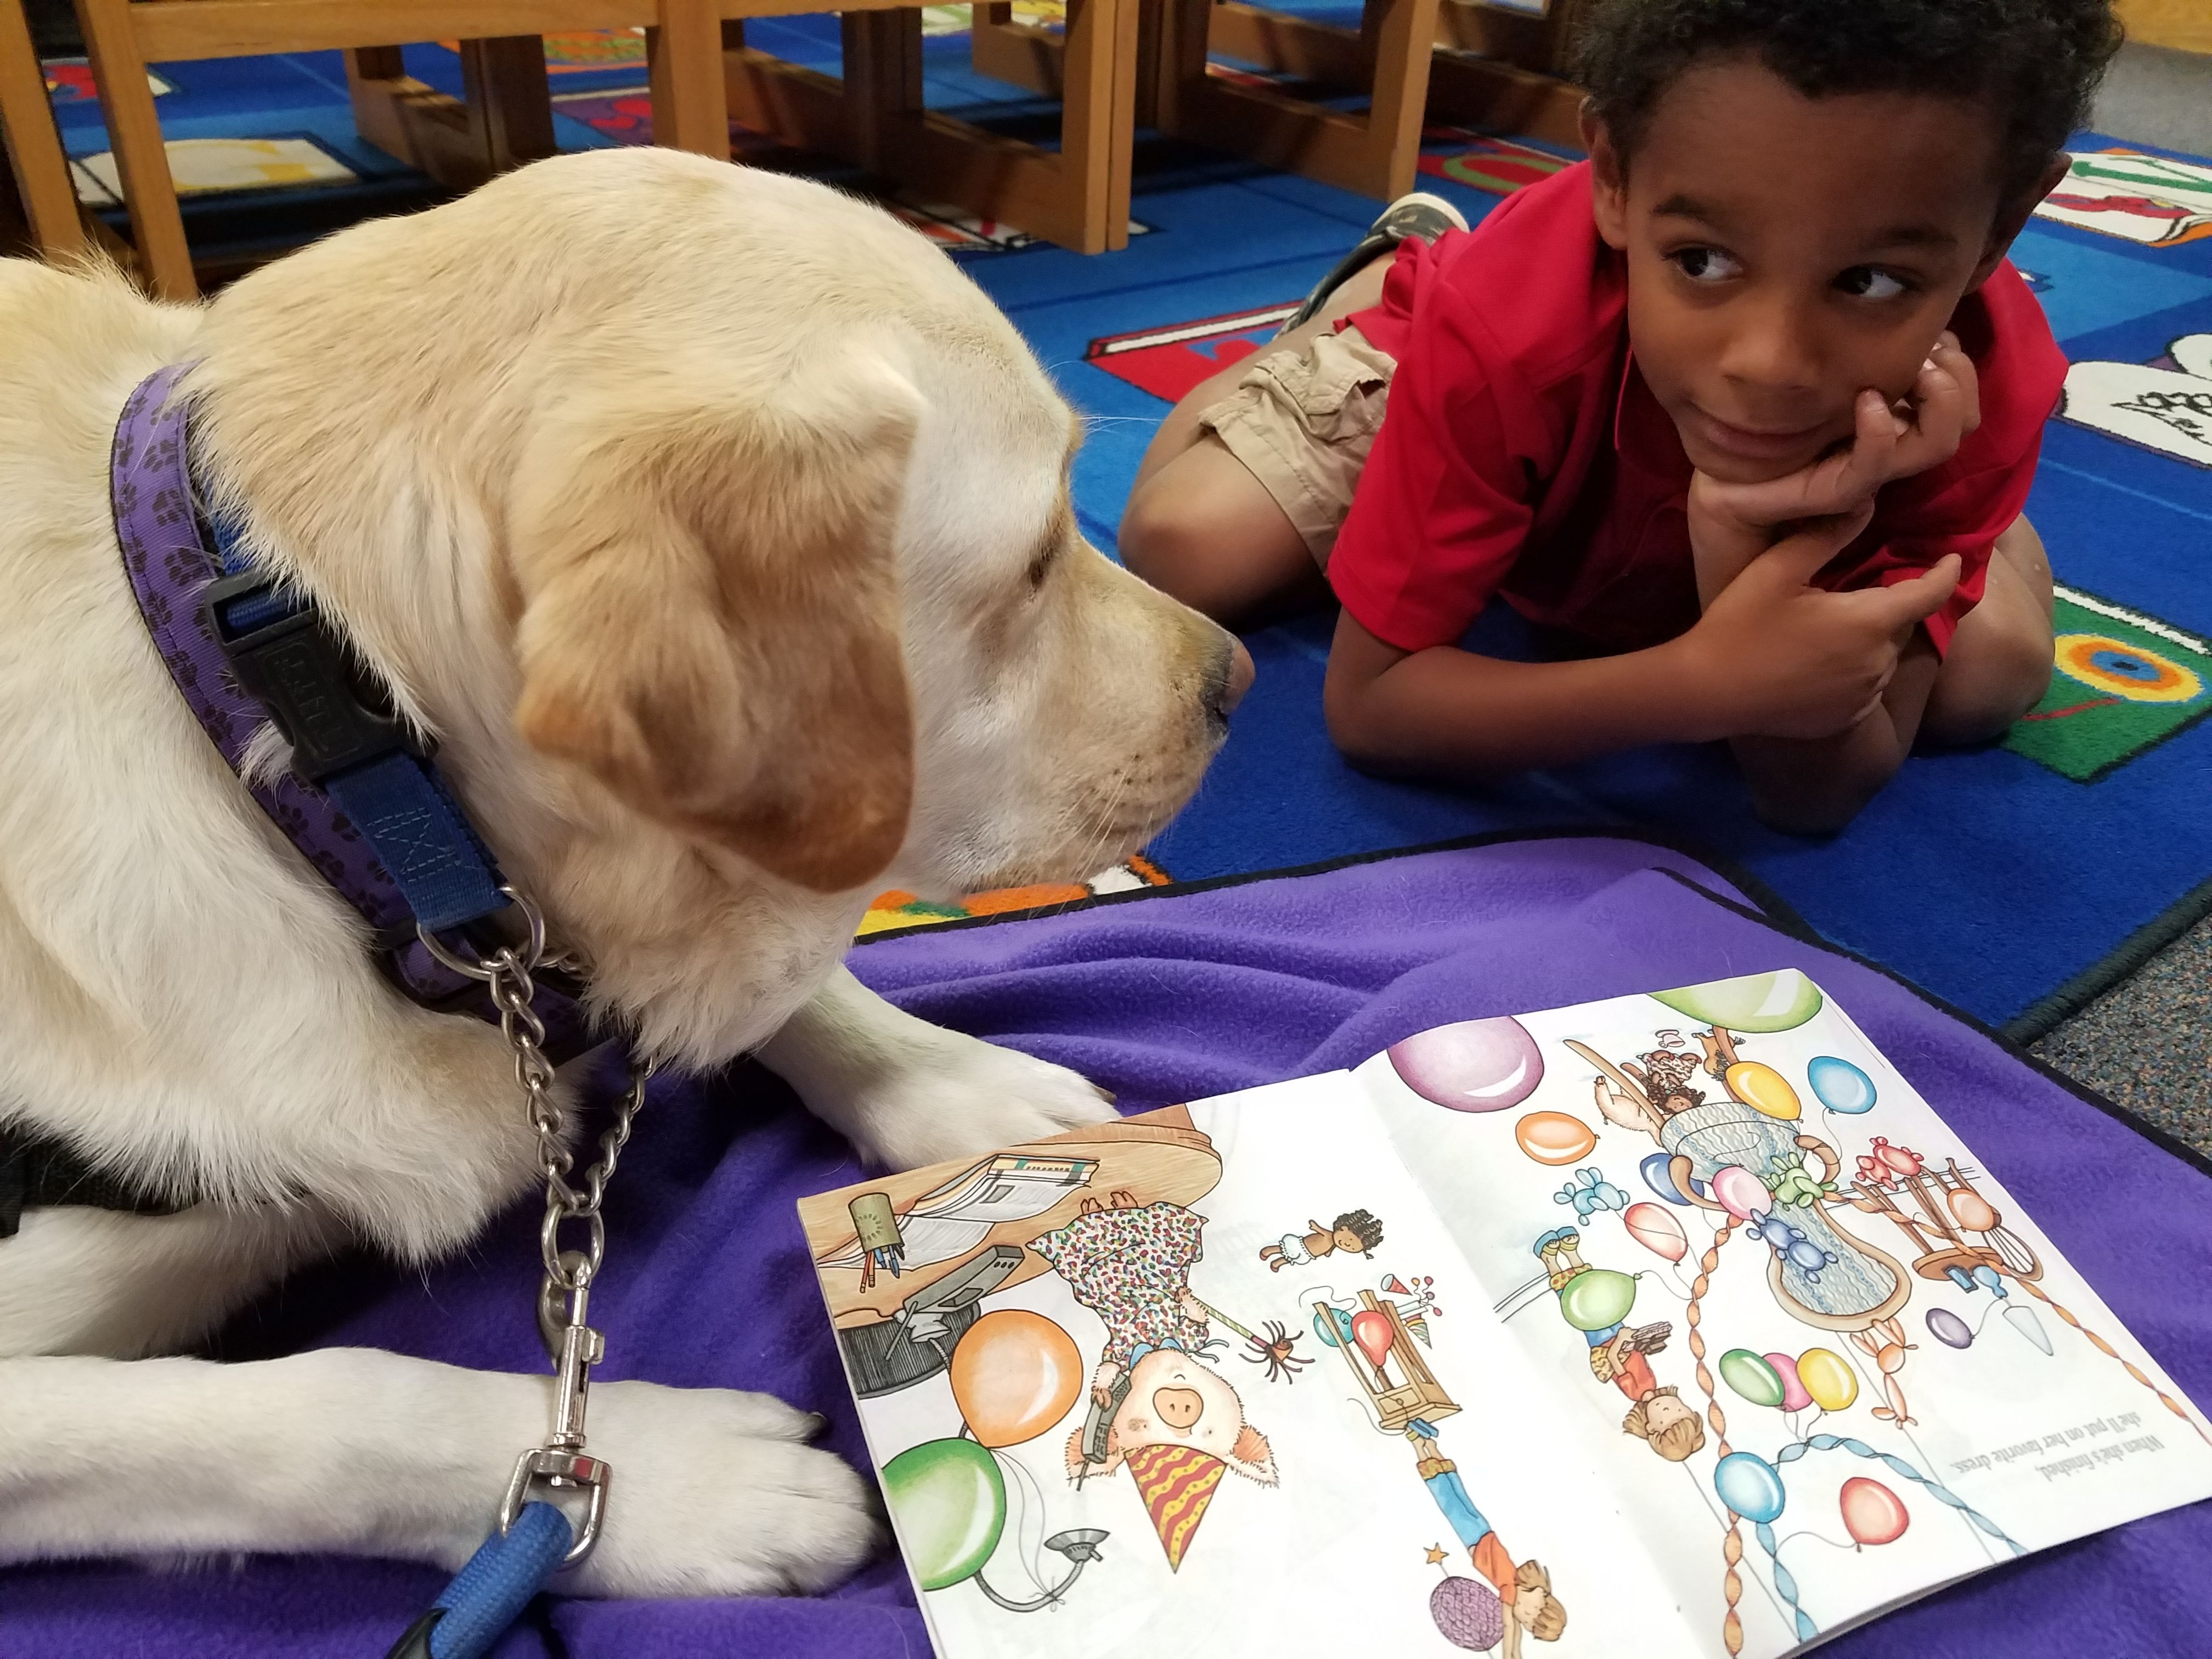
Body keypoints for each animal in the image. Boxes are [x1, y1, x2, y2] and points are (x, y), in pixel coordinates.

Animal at [0, 149, 1248, 1601]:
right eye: (1035, 561)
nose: (1237, 680)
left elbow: (783, 977)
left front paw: (954, 1089)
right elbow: (320, 1410)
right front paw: (671, 1485)